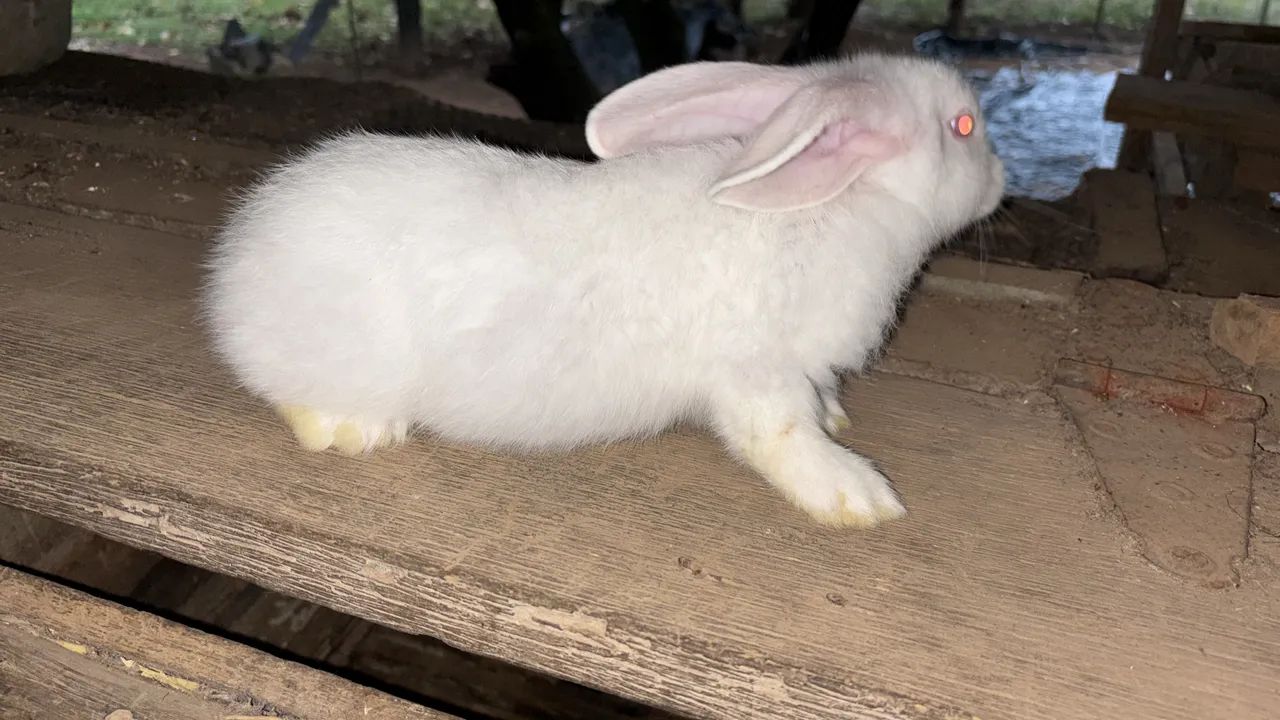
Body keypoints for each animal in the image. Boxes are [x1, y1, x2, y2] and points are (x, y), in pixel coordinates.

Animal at [203, 52, 1005, 528]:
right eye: (964, 125)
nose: (1002, 180)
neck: (834, 207)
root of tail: (234, 267)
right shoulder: (755, 375)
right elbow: (778, 436)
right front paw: (859, 497)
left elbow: (818, 404)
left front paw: (839, 420)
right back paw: (356, 431)